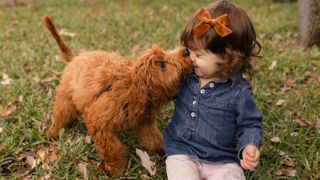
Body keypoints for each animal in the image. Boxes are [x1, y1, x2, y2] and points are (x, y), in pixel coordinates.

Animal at [43, 16, 191, 174]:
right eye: (162, 65)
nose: (186, 50)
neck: (133, 86)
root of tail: (75, 58)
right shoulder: (98, 121)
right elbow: (112, 148)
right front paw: (116, 168)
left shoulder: (144, 121)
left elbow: (152, 138)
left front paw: (161, 150)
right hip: (66, 97)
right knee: (63, 114)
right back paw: (53, 131)